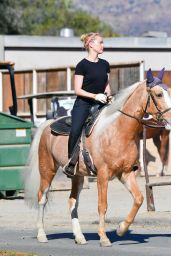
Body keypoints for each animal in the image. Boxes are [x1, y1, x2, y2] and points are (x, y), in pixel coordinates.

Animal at [24, 69, 171, 247]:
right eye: (158, 94)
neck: (118, 131)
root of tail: (48, 123)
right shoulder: (103, 175)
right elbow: (102, 205)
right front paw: (103, 237)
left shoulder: (126, 173)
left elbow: (139, 199)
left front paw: (121, 228)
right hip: (47, 170)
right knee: (42, 198)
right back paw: (41, 234)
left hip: (77, 176)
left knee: (72, 201)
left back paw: (79, 236)